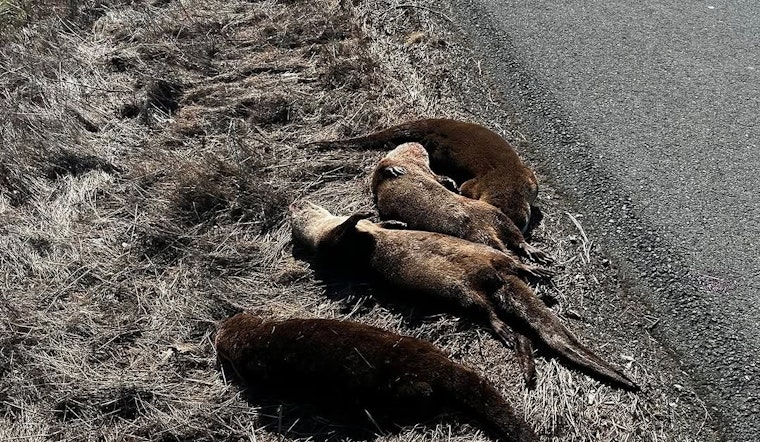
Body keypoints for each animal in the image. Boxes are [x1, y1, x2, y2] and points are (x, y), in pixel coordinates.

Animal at [289, 202, 639, 391]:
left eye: (299, 206)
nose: (295, 204)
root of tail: (495, 279)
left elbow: (375, 223)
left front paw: (389, 219)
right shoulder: (329, 244)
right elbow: (344, 234)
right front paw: (357, 217)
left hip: (487, 255)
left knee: (512, 266)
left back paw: (536, 271)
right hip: (462, 292)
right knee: (493, 316)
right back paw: (510, 338)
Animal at [311, 118, 539, 233]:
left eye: (523, 224)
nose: (517, 233)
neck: (505, 178)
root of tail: (435, 123)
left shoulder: (529, 179)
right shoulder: (478, 184)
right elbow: (465, 189)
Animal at [371, 142, 552, 264]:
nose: (417, 143)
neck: (410, 164)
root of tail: (490, 229)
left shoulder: (425, 171)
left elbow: (438, 178)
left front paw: (451, 182)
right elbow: (378, 173)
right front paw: (394, 170)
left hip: (491, 215)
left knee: (514, 238)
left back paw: (534, 255)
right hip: (480, 234)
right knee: (506, 248)